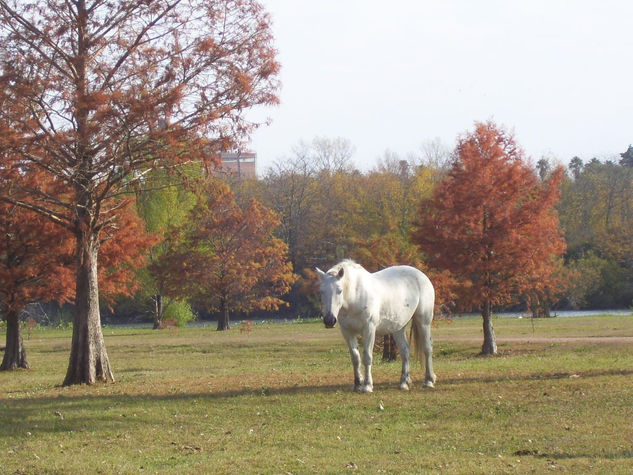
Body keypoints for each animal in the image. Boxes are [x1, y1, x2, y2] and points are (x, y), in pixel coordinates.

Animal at [316, 260, 434, 394]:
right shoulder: (347, 331)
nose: (329, 320)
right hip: (398, 328)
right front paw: (357, 384)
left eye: (339, 290)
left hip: (423, 321)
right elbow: (355, 358)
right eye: (321, 291)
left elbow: (367, 356)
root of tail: (422, 276)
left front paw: (367, 385)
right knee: (405, 351)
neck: (355, 296)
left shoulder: (369, 329)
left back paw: (429, 381)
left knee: (427, 348)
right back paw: (404, 383)